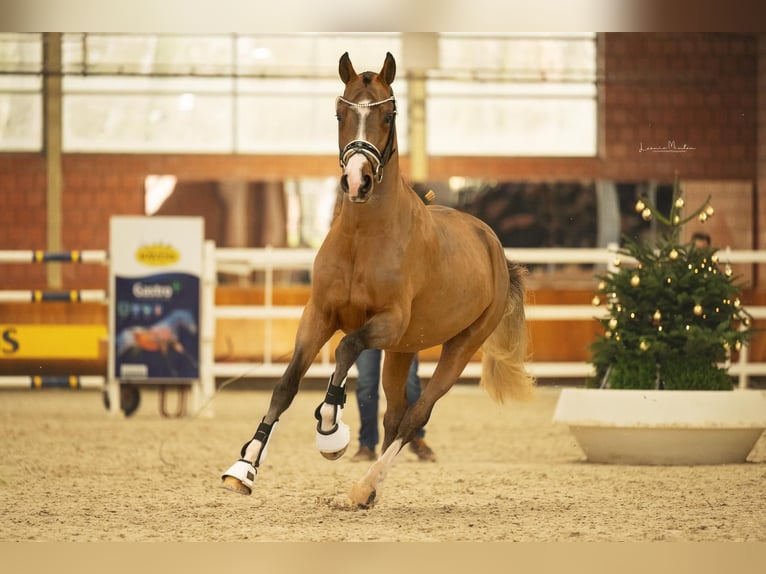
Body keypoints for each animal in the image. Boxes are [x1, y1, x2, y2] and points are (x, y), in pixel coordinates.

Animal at [222, 51, 536, 510]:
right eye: (340, 114)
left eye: (388, 115)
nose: (357, 181)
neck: (362, 237)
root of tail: (494, 246)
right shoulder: (319, 316)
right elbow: (286, 385)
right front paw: (243, 468)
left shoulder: (386, 322)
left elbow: (346, 349)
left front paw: (330, 428)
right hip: (402, 351)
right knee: (395, 415)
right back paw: (368, 493)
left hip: (460, 346)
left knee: (415, 415)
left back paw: (363, 485)